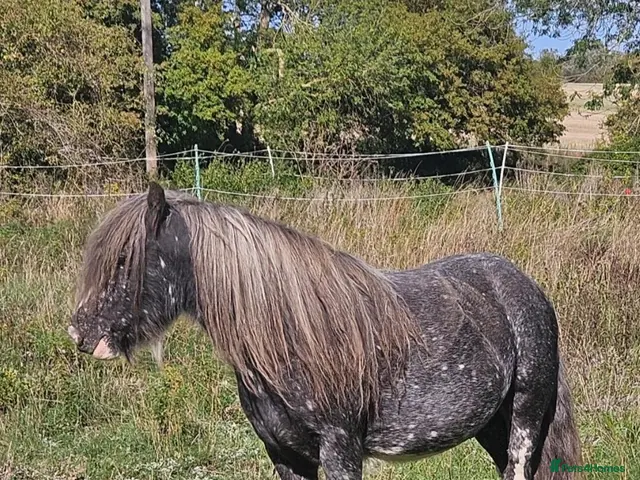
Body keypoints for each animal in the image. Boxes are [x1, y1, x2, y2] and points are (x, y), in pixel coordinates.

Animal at [67, 182, 581, 480]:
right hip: (493, 426)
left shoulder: (340, 451)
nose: (79, 333)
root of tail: (526, 286)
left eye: (124, 259)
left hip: (525, 417)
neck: (290, 339)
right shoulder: (285, 456)